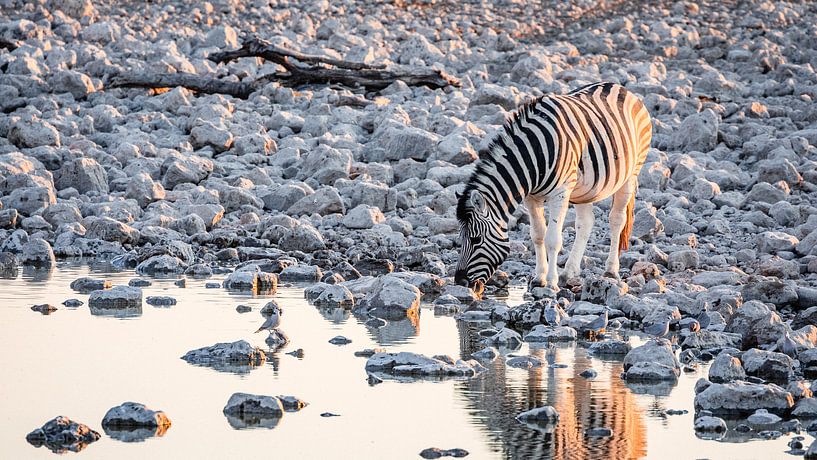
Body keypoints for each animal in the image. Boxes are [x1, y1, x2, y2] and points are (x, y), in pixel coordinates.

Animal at [454, 82, 653, 293]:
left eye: (475, 240)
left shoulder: (560, 193)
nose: (460, 282)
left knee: (617, 220)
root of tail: (619, 87)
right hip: (586, 189)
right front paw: (539, 278)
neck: (534, 155)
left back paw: (610, 270)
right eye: (460, 239)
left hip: (630, 174)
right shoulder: (531, 197)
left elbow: (552, 239)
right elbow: (538, 235)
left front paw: (551, 282)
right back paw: (569, 272)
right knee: (586, 223)